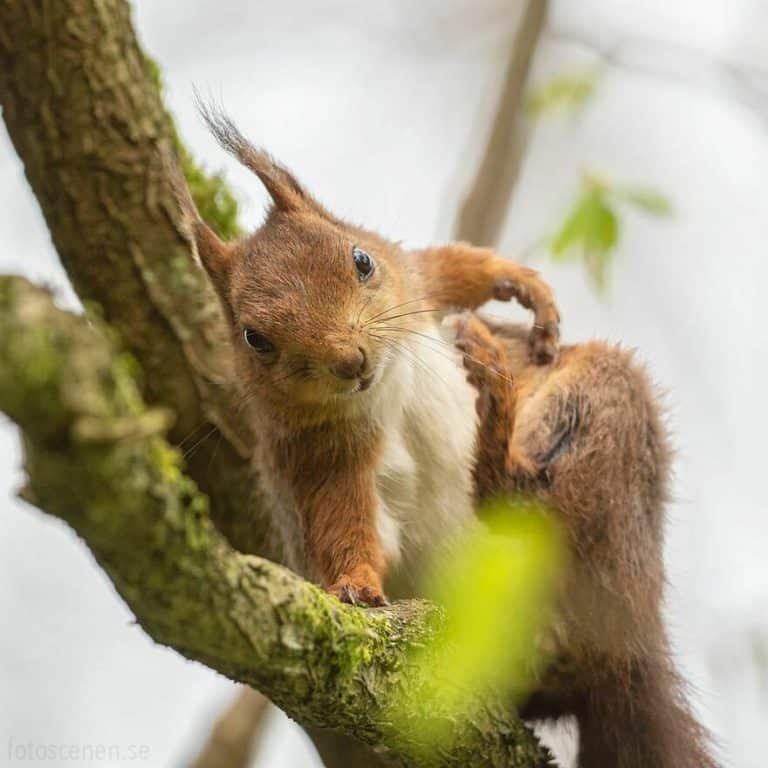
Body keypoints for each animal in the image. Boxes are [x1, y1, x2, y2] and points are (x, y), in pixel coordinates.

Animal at [171, 108, 560, 608]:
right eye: (254, 339)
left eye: (361, 259)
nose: (349, 361)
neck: (390, 382)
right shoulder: (322, 457)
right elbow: (343, 526)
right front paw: (355, 582)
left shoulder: (418, 283)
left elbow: (455, 267)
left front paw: (525, 288)